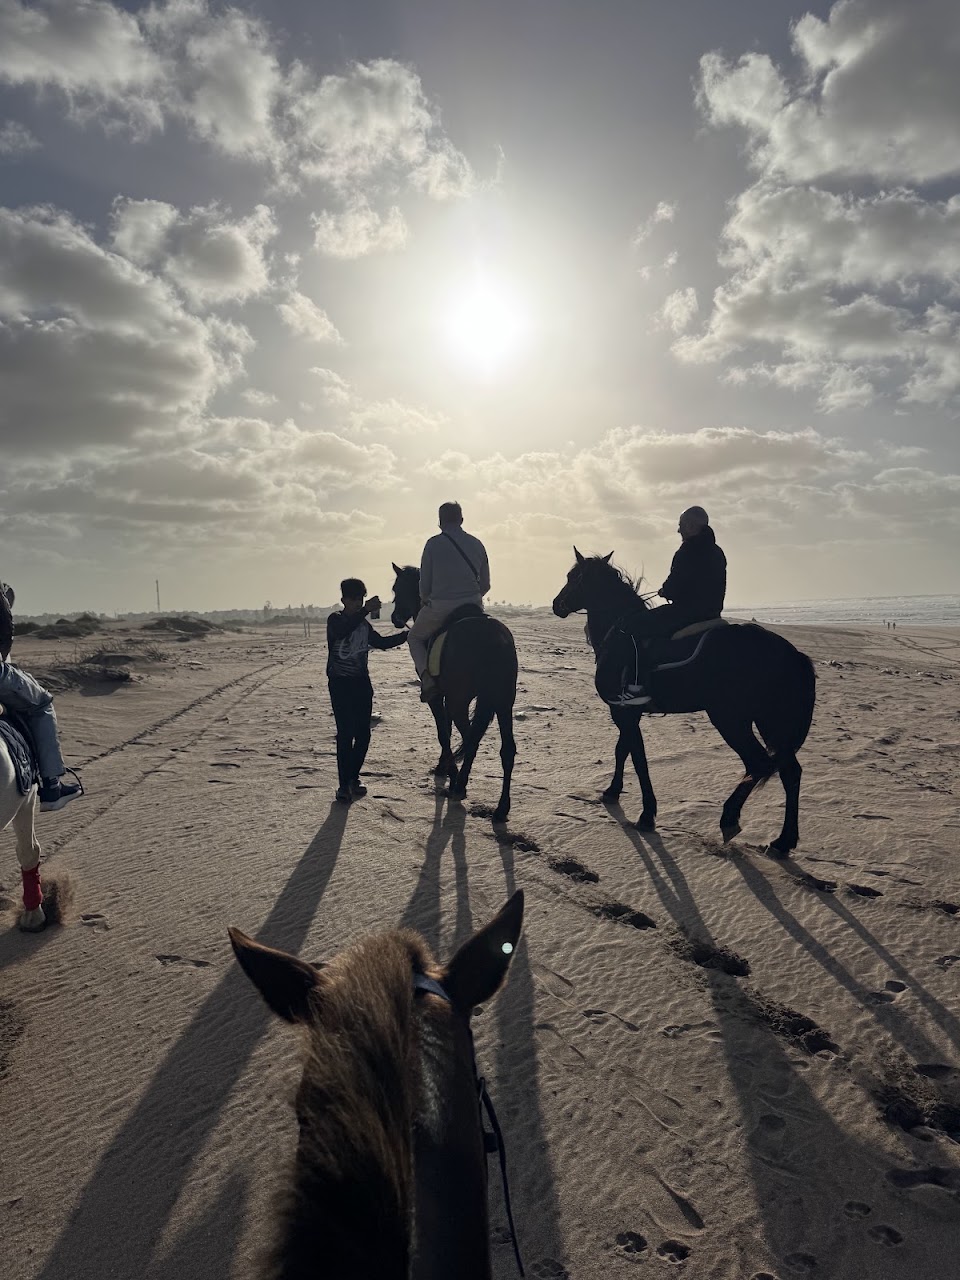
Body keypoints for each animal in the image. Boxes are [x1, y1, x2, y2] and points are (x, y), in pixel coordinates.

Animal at [390, 564, 518, 823]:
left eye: (397, 588)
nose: (395, 618)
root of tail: (494, 640)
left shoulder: (438, 696)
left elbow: (443, 731)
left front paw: (448, 769)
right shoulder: (449, 695)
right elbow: (447, 730)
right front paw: (445, 766)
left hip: (462, 700)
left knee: (471, 739)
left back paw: (459, 786)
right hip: (503, 701)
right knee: (506, 749)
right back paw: (501, 808)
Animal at [552, 550, 816, 855]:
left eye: (573, 577)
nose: (556, 604)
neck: (616, 633)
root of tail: (793, 654)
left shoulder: (623, 711)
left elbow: (637, 757)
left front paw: (647, 814)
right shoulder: (627, 711)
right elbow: (623, 750)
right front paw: (613, 791)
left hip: (730, 718)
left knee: (759, 764)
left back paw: (730, 819)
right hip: (770, 722)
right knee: (790, 772)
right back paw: (783, 841)